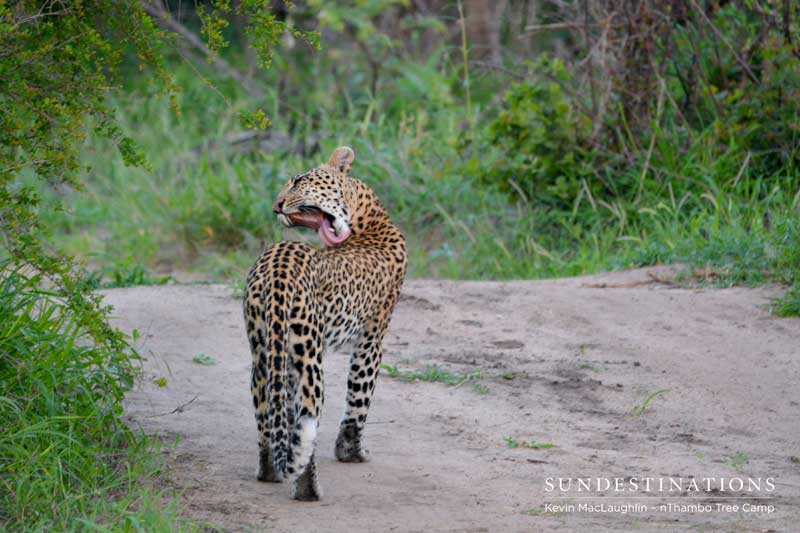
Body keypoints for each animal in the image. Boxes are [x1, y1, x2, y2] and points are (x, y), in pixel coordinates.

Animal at [243, 146, 407, 501]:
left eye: (298, 182)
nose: (276, 206)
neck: (368, 218)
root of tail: (278, 268)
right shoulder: (372, 339)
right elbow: (359, 398)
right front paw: (351, 452)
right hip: (309, 356)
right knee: (307, 419)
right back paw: (308, 489)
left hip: (264, 352)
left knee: (268, 415)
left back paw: (270, 471)